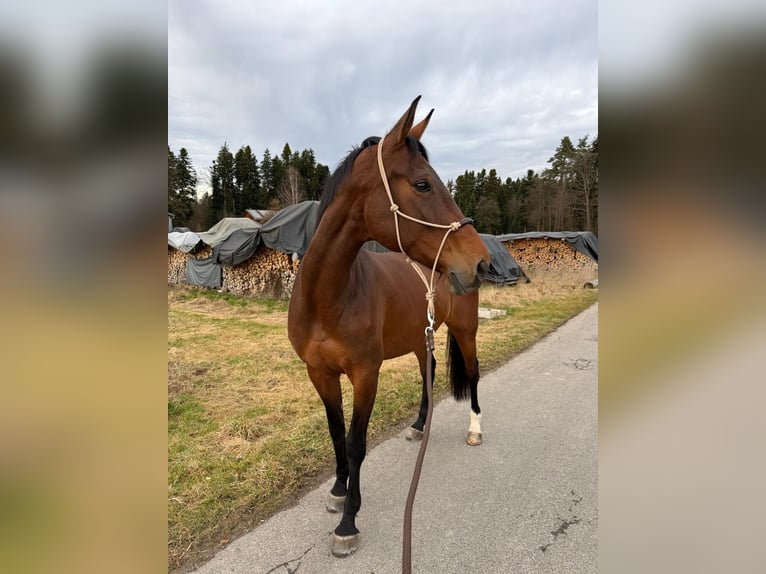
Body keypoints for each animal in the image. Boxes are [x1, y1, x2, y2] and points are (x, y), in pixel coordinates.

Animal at [287, 96, 490, 557]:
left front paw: (348, 522)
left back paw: (474, 429)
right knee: (428, 372)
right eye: (422, 184)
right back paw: (418, 427)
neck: (330, 297)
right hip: (419, 338)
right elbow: (335, 434)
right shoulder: (318, 373)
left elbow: (356, 443)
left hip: (466, 331)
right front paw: (338, 491)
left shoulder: (366, 374)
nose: (481, 262)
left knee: (472, 374)